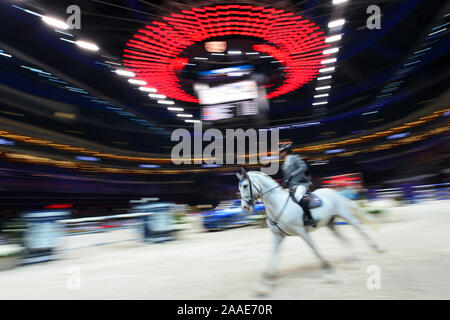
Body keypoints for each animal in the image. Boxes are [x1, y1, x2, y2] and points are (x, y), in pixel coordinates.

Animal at [236, 170, 384, 292]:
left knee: (360, 230)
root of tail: (335, 192)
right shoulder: (278, 236)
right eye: (239, 187)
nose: (245, 207)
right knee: (344, 239)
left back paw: (377, 249)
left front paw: (329, 274)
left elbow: (315, 250)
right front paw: (265, 285)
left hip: (346, 216)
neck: (277, 204)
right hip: (330, 224)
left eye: (245, 186)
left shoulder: (302, 232)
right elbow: (272, 257)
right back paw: (352, 261)